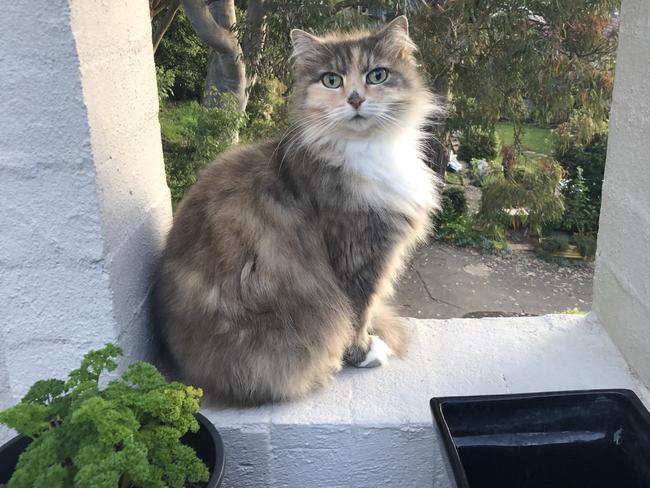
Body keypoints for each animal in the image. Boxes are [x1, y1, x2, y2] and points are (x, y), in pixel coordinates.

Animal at [151, 16, 440, 404]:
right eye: (331, 80)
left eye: (377, 75)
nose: (355, 98)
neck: (367, 150)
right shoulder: (358, 254)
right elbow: (358, 315)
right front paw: (364, 353)